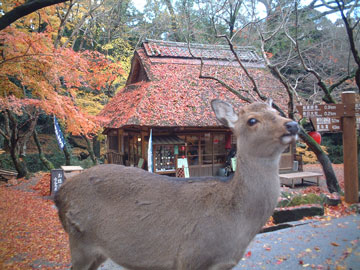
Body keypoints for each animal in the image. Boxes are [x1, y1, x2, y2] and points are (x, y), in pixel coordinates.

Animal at [55, 99, 298, 270]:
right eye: (252, 120)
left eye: (278, 113)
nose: (293, 124)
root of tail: (59, 195)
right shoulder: (190, 256)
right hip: (79, 239)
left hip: (97, 251)